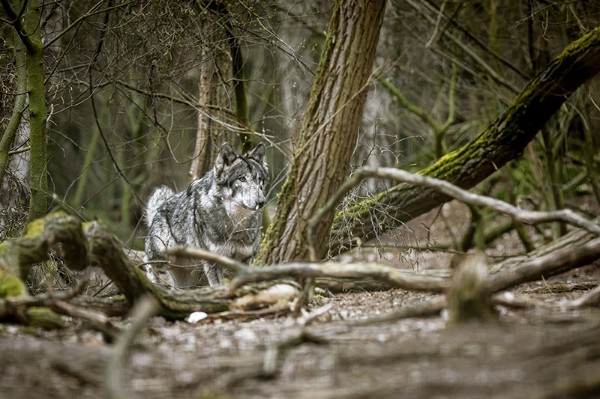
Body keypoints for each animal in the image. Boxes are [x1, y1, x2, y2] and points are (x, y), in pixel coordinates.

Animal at [143, 142, 268, 290]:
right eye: (242, 179)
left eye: (259, 180)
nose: (261, 202)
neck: (235, 223)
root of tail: (157, 212)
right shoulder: (214, 262)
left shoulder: (245, 260)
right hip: (163, 261)